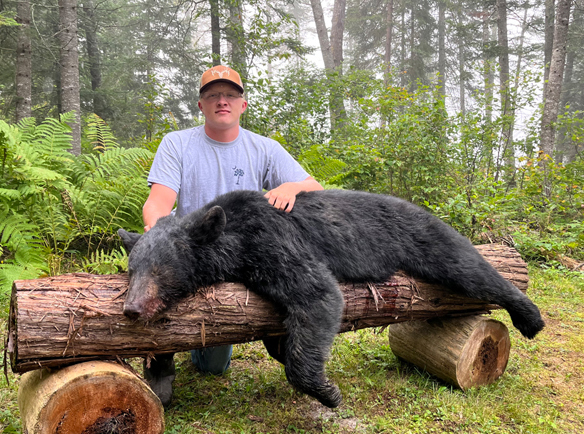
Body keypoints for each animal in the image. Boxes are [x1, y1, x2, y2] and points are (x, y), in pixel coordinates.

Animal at [116, 189, 544, 406]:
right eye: (131, 270)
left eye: (161, 270)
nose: (132, 309)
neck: (233, 233)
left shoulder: (273, 241)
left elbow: (318, 294)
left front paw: (327, 392)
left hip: (424, 237)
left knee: (469, 268)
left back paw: (530, 317)